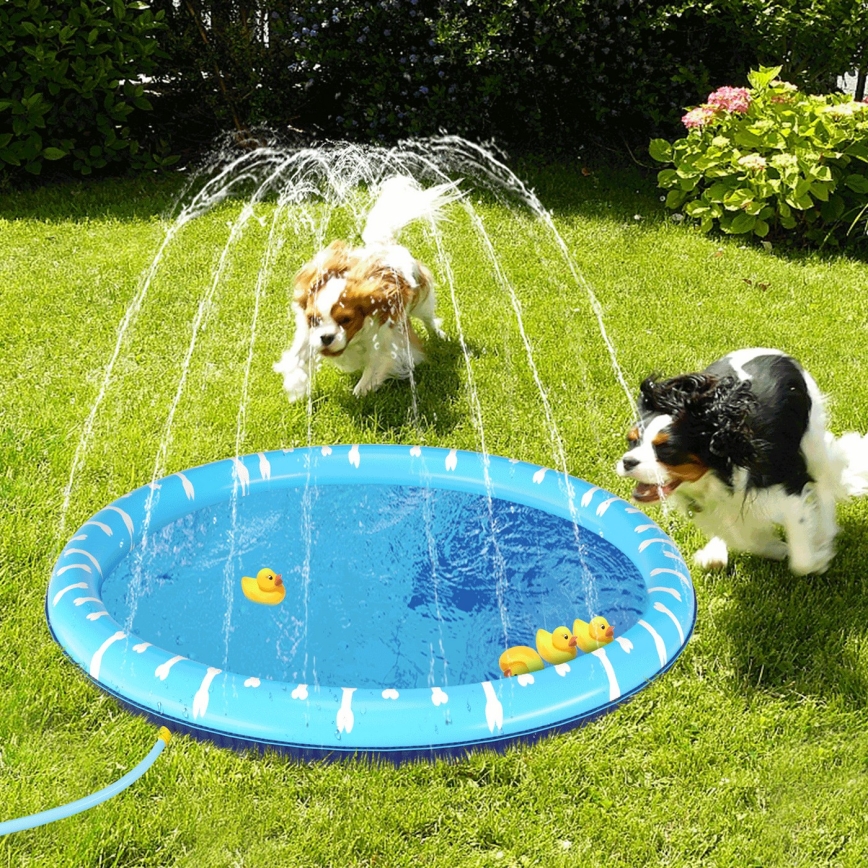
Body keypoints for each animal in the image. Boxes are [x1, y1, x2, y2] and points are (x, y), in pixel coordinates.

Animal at [272, 180, 462, 404]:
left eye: (346, 320)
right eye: (313, 320)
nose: (326, 337)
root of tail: (385, 245)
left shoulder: (385, 339)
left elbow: (375, 364)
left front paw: (362, 390)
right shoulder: (307, 333)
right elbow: (297, 359)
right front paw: (298, 388)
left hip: (421, 301)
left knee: (429, 319)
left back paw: (440, 335)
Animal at [616, 346, 868, 576]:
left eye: (667, 449)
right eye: (632, 441)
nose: (628, 461)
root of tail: (773, 351)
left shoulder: (791, 486)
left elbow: (801, 562)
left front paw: (818, 556)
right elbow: (746, 538)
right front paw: (775, 547)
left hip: (812, 439)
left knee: (824, 484)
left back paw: (825, 532)